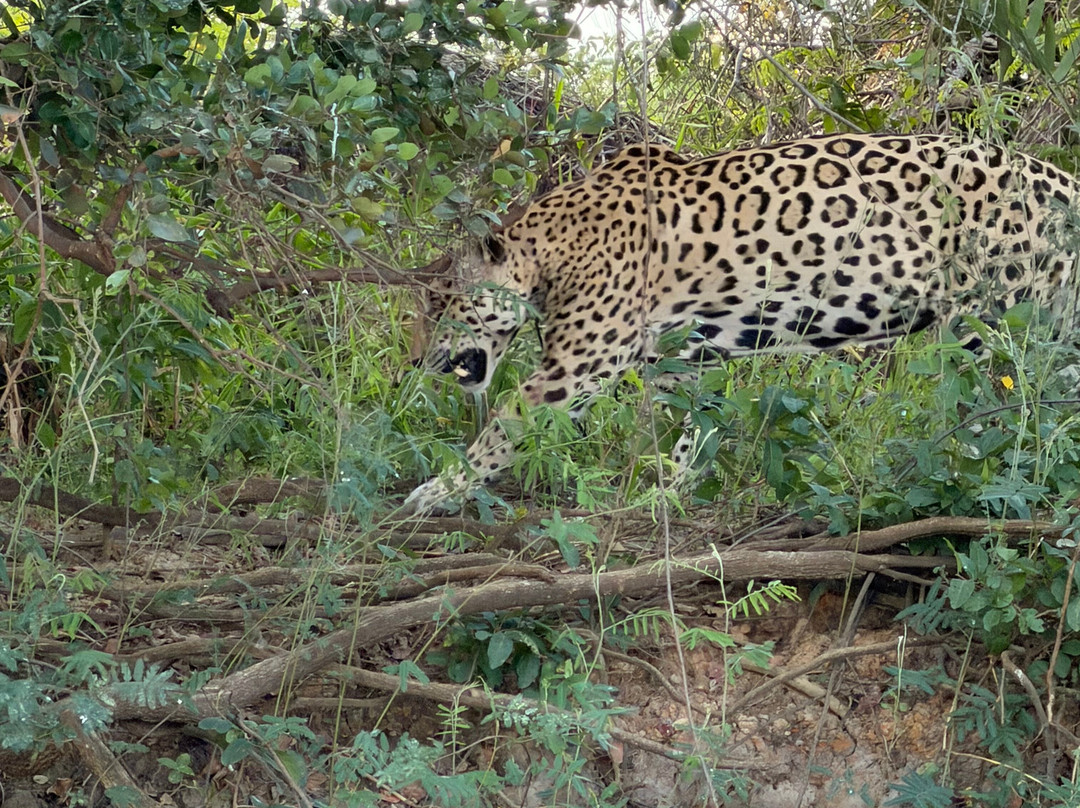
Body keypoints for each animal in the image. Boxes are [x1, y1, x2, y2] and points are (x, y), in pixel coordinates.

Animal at [403, 133, 1080, 513]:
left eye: (439, 306)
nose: (414, 359)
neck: (548, 250)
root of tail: (1063, 178)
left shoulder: (577, 367)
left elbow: (503, 427)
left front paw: (437, 492)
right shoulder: (685, 356)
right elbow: (695, 426)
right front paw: (670, 489)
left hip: (992, 325)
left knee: (1011, 410)